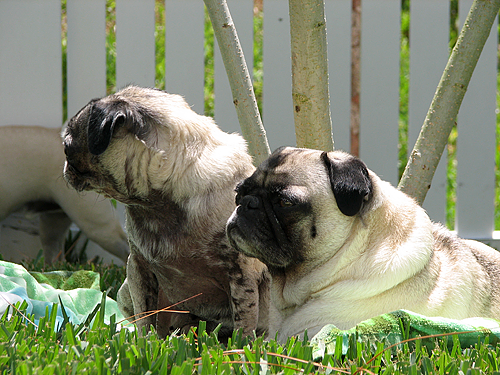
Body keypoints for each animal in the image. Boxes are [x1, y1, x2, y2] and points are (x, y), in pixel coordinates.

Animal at [64, 86, 272, 340]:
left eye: (67, 147)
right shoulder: (139, 269)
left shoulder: (241, 275)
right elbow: (145, 317)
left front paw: (240, 347)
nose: (65, 167)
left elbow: (244, 321)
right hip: (126, 290)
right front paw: (144, 343)